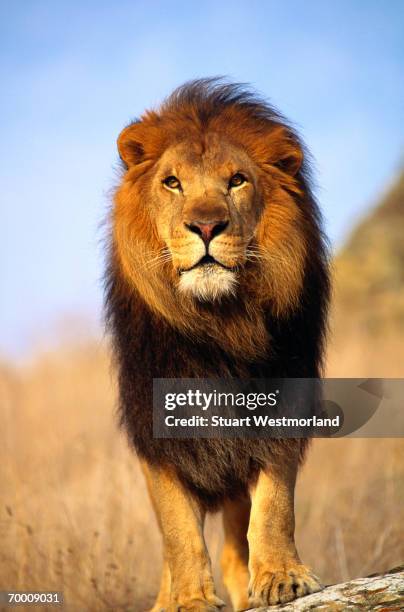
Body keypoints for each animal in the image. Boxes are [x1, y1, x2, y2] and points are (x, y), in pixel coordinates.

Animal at [105, 79, 330, 608]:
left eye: (238, 181)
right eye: (172, 183)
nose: (206, 226)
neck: (218, 322)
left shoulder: (280, 406)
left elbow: (274, 507)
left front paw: (282, 577)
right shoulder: (157, 432)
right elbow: (179, 532)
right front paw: (189, 600)